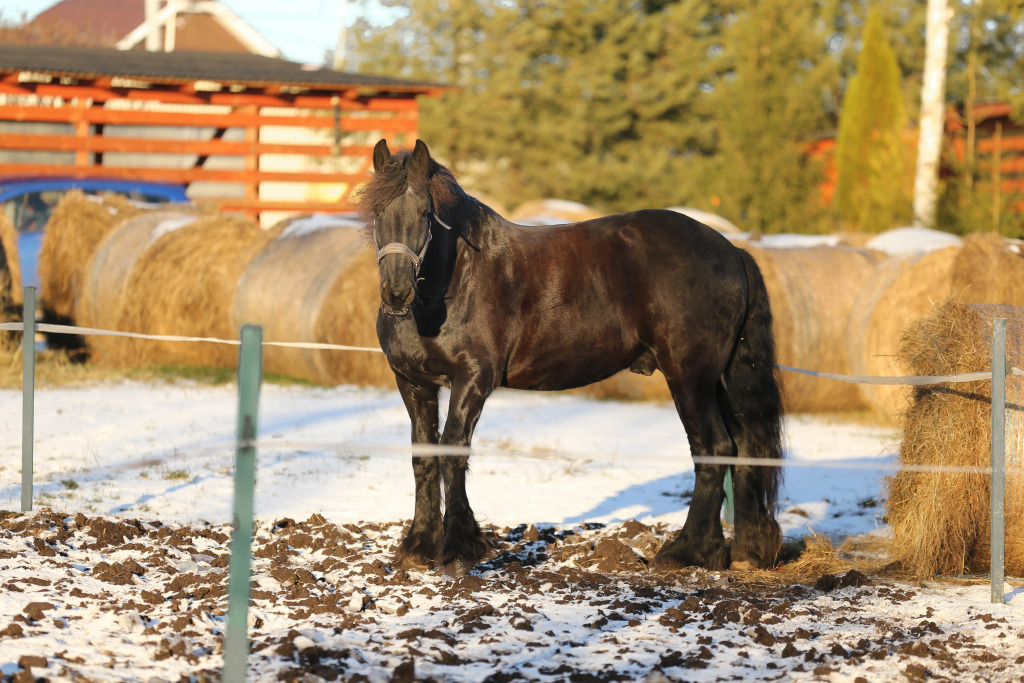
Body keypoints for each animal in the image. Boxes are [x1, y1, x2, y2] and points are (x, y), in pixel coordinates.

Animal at [354, 139, 782, 577]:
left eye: (425, 213)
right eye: (377, 211)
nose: (397, 293)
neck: (458, 280)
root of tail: (732, 250)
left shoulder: (472, 379)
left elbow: (452, 452)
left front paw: (460, 545)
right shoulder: (413, 383)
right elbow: (423, 457)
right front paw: (419, 545)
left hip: (689, 377)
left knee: (712, 447)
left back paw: (687, 551)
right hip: (714, 379)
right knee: (743, 446)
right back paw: (746, 550)